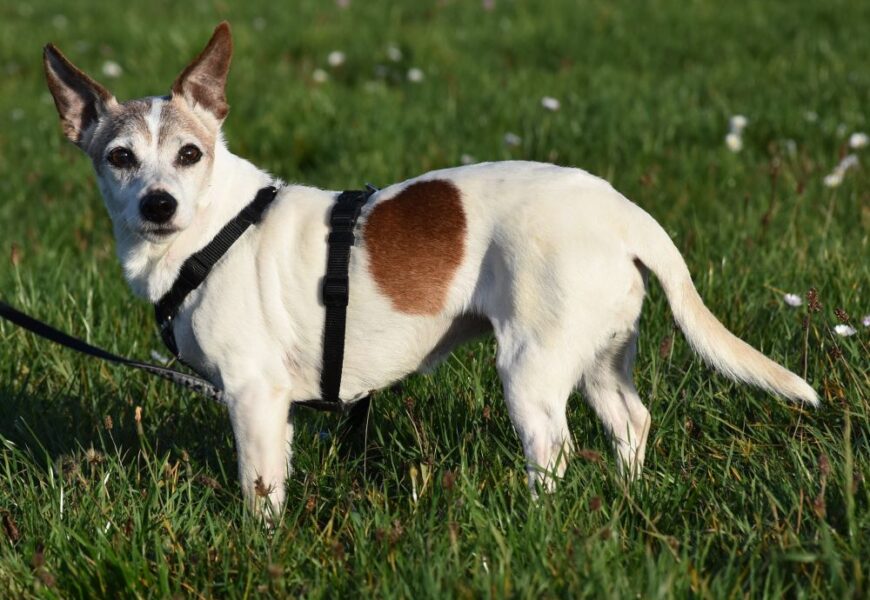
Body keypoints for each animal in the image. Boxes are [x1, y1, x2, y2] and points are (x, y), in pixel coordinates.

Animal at [41, 23, 816, 516]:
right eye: (120, 158)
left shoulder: (253, 397)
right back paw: (629, 499)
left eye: (190, 154)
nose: (159, 203)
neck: (212, 230)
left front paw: (258, 551)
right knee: (631, 422)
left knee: (553, 449)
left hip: (531, 368)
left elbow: (259, 493)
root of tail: (621, 209)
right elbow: (277, 477)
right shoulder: (274, 408)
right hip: (599, 355)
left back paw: (539, 524)